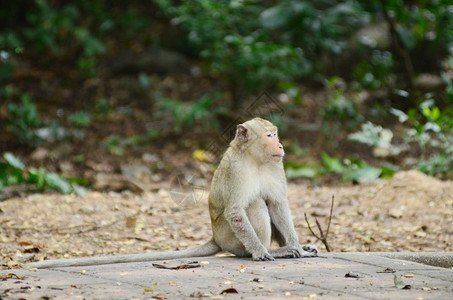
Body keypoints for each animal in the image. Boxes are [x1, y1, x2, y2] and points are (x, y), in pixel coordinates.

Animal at [28, 116, 316, 268]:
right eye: (269, 135)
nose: (280, 144)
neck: (255, 159)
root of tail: (216, 238)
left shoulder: (276, 165)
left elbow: (278, 204)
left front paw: (298, 247)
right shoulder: (236, 170)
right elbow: (236, 210)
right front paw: (261, 251)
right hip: (229, 237)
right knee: (254, 205)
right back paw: (269, 250)